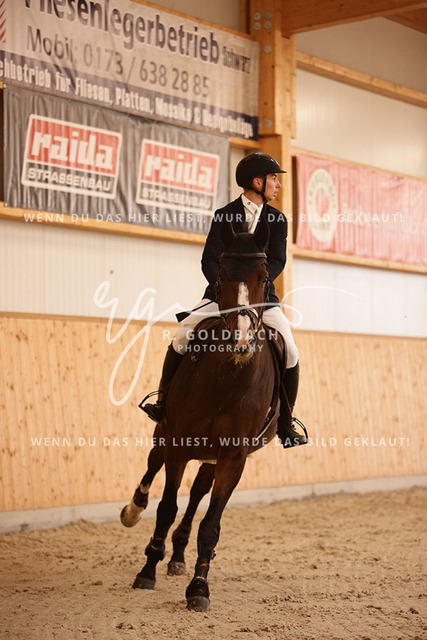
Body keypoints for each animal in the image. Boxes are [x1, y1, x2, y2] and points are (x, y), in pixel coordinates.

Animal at [121, 219, 284, 612]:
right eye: (221, 274)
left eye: (264, 276)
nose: (241, 341)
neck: (228, 375)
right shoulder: (180, 443)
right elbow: (165, 507)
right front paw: (147, 571)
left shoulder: (233, 456)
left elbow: (210, 525)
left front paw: (198, 587)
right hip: (165, 433)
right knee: (153, 464)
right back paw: (134, 511)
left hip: (210, 455)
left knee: (197, 492)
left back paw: (179, 556)